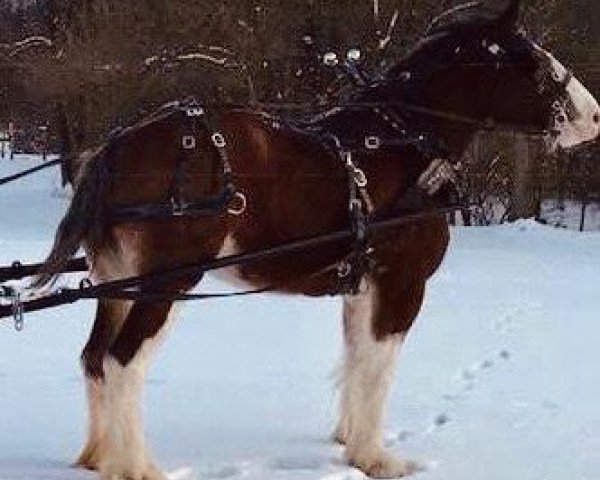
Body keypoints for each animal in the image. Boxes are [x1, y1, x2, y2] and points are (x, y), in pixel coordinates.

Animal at [34, 1, 600, 478]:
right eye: (538, 66)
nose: (594, 116)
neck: (400, 146)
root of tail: (116, 146)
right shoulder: (402, 284)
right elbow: (378, 368)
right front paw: (376, 457)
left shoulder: (361, 285)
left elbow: (355, 359)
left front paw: (348, 440)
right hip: (166, 283)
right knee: (122, 362)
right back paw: (136, 467)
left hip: (117, 283)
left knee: (94, 359)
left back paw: (99, 457)